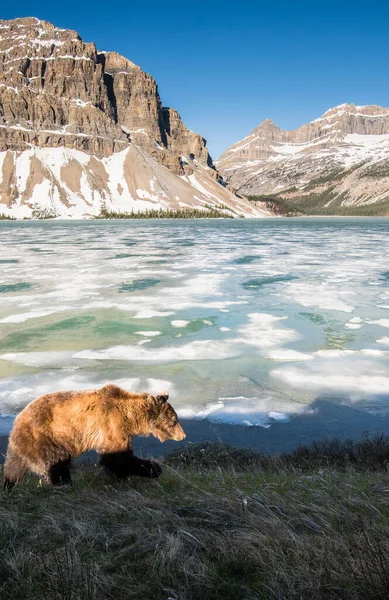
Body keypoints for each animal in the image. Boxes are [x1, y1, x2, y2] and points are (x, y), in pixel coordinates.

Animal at [3, 384, 185, 492]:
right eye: (174, 420)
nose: (183, 435)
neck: (130, 417)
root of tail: (17, 420)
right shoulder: (111, 424)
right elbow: (118, 458)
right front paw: (154, 468)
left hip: (23, 446)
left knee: (13, 467)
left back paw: (8, 485)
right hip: (45, 437)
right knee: (55, 464)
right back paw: (64, 484)